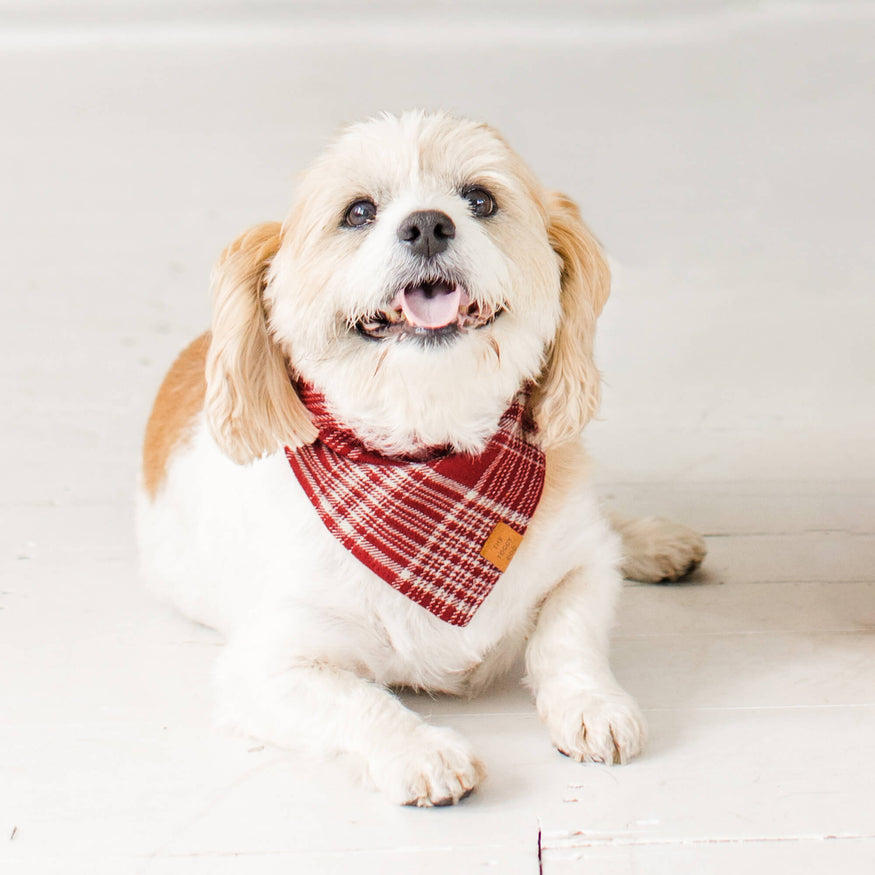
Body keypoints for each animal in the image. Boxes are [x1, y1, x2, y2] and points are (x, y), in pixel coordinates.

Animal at [139, 109, 712, 808]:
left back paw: (654, 542)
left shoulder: (584, 564)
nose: (429, 224)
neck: (432, 458)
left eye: (480, 199)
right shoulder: (268, 663)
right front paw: (421, 751)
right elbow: (356, 700)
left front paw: (591, 703)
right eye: (358, 212)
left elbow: (566, 634)